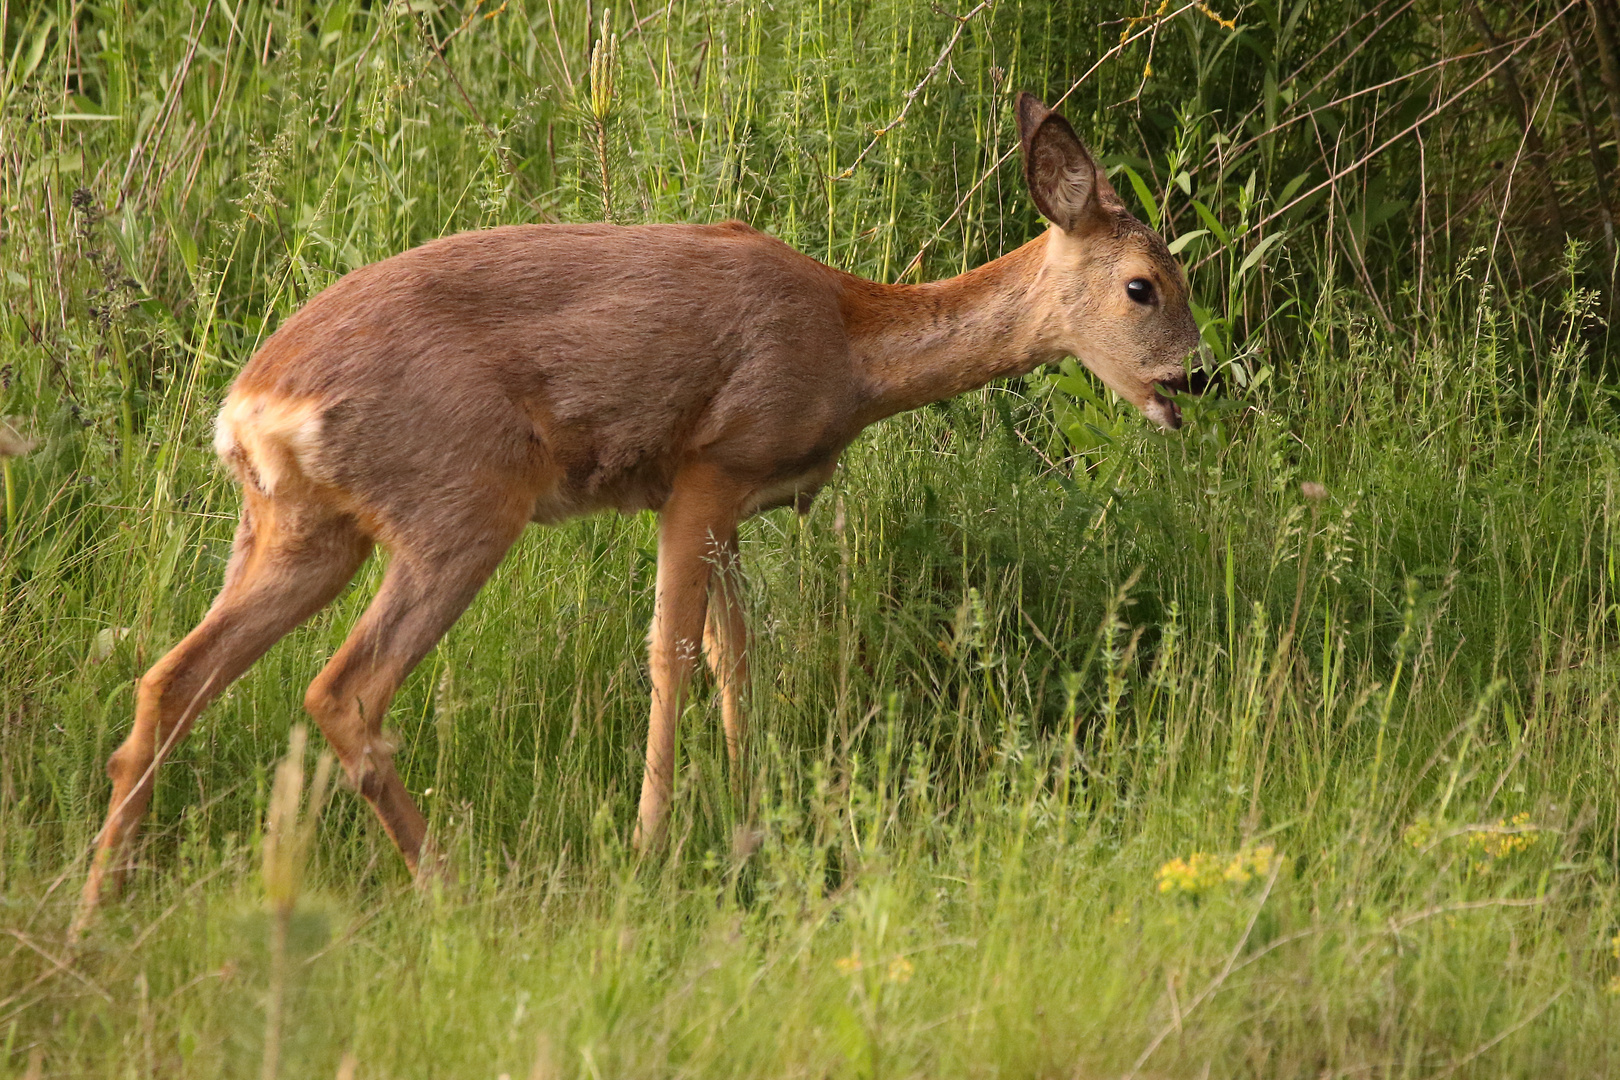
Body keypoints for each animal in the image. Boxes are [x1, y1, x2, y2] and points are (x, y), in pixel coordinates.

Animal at [72, 93, 1205, 939]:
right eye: (1143, 286)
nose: (1198, 380)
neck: (849, 344)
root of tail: (251, 405)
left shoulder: (734, 501)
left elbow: (739, 656)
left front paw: (755, 812)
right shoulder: (704, 466)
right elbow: (671, 651)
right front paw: (652, 843)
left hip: (300, 530)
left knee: (172, 677)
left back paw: (101, 902)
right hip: (457, 507)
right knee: (340, 689)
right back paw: (451, 890)